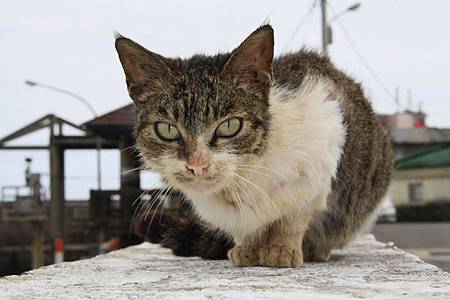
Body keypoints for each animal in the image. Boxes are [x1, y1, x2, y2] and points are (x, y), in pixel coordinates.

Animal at [116, 23, 394, 268]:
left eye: (229, 126)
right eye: (167, 130)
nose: (197, 165)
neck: (243, 181)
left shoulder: (318, 162)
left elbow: (293, 219)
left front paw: (282, 249)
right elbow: (246, 230)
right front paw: (247, 247)